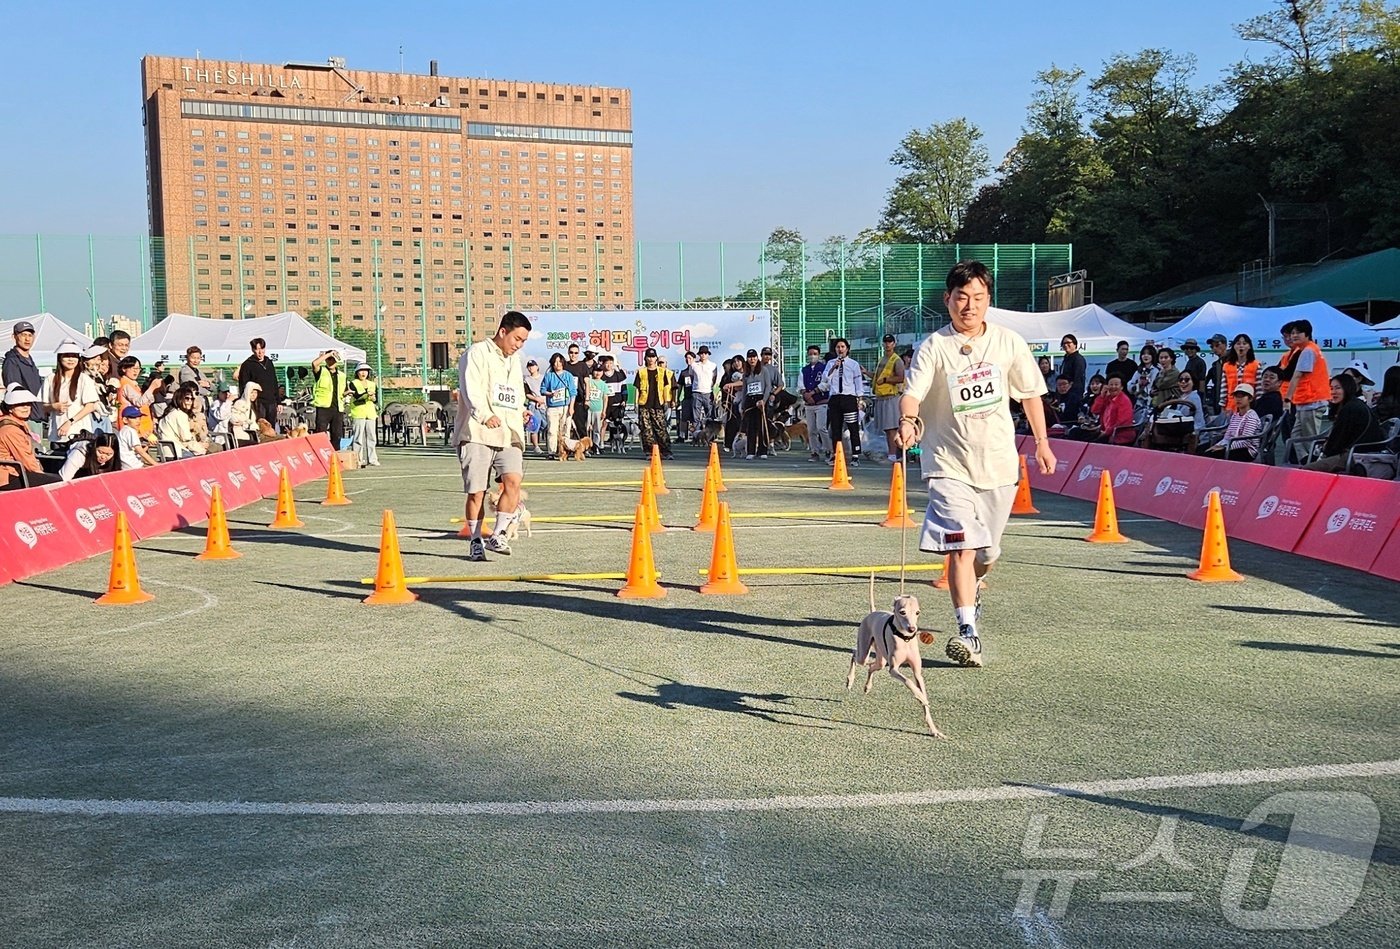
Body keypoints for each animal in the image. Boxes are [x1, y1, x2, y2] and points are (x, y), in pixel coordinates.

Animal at [845, 576, 946, 739]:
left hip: (880, 658)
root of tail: (873, 612)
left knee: (871, 667)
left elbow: (920, 688)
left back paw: (867, 687)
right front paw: (920, 696)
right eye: (902, 612)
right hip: (864, 651)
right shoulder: (893, 669)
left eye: (917, 612)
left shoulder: (917, 672)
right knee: (854, 654)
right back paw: (849, 681)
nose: (912, 629)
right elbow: (909, 682)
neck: (905, 639)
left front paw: (934, 729)